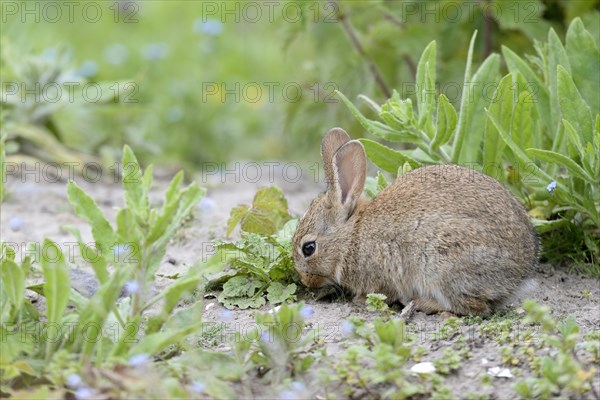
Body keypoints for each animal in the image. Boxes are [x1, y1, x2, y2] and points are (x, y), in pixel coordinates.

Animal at [292, 128, 540, 316]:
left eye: (308, 248)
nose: (306, 280)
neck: (351, 235)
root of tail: (520, 273)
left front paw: (360, 300)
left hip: (444, 267)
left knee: (473, 307)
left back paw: (420, 303)